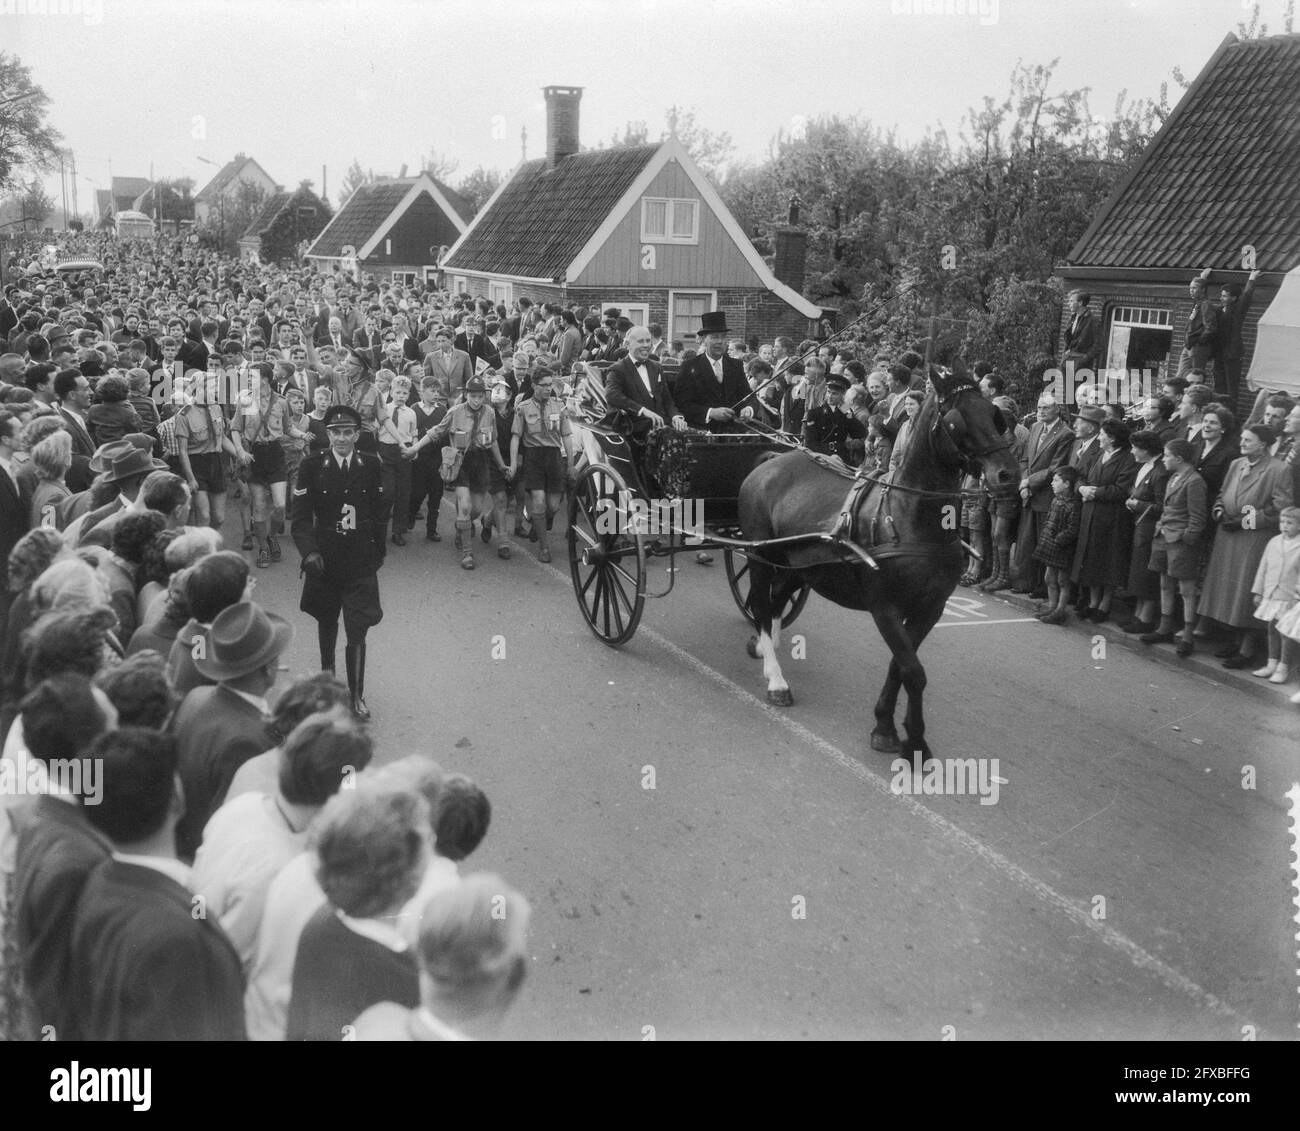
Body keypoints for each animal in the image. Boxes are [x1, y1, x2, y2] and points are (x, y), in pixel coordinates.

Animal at [738, 371, 1019, 759]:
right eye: (956, 420)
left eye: (995, 415)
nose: (1007, 475)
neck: (908, 516)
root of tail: (770, 461)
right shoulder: (884, 607)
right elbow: (913, 672)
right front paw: (913, 740)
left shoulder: (929, 609)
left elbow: (900, 667)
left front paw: (886, 726)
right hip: (761, 556)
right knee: (764, 605)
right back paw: (776, 679)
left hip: (800, 565)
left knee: (777, 598)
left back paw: (765, 649)